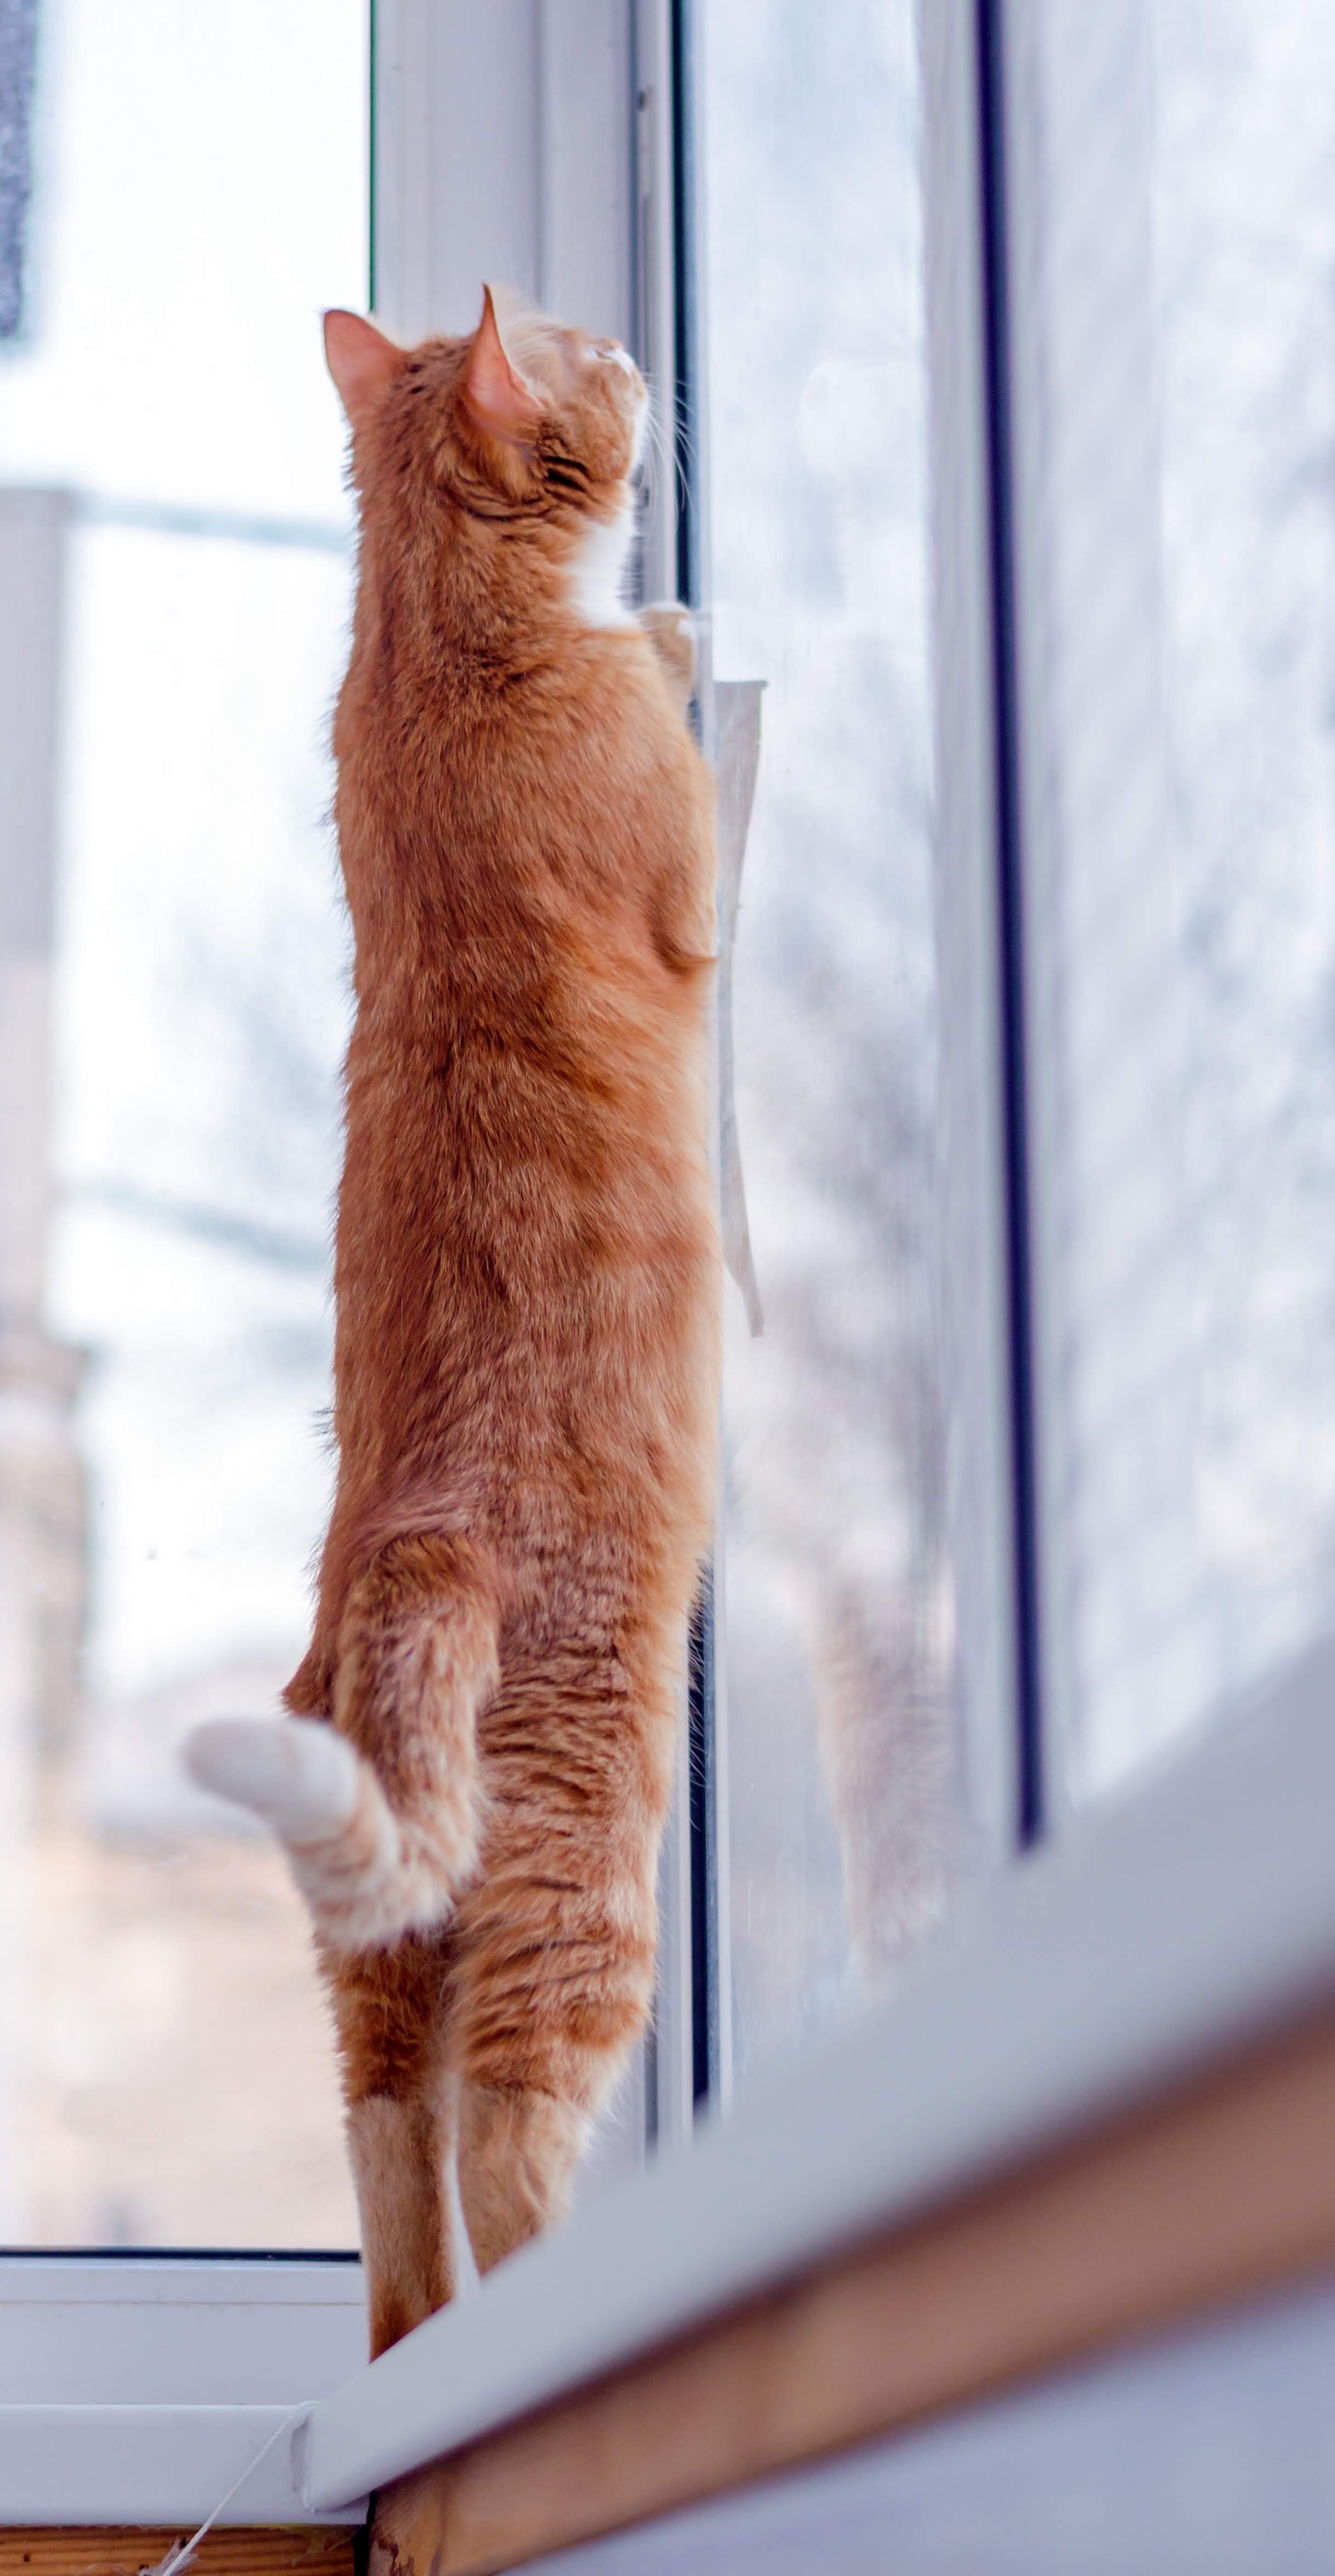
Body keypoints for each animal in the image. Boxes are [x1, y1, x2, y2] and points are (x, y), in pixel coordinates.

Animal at [188, 282, 721, 2359]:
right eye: (583, 343)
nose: (643, 354)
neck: (432, 650)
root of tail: (412, 1547)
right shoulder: (679, 882)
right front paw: (678, 627)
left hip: (376, 1927)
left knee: (389, 2142)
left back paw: (425, 2347)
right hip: (587, 1837)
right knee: (501, 2125)